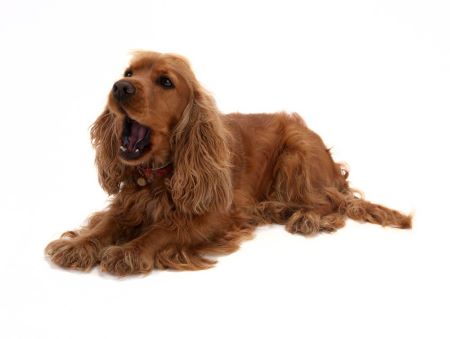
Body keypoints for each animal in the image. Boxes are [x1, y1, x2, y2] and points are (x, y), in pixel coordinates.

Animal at [45, 51, 412, 276]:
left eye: (166, 82)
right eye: (129, 73)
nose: (120, 87)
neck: (160, 175)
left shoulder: (214, 216)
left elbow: (164, 229)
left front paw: (129, 251)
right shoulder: (127, 205)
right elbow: (104, 226)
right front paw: (78, 245)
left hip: (297, 151)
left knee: (329, 203)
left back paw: (305, 216)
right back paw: (276, 208)